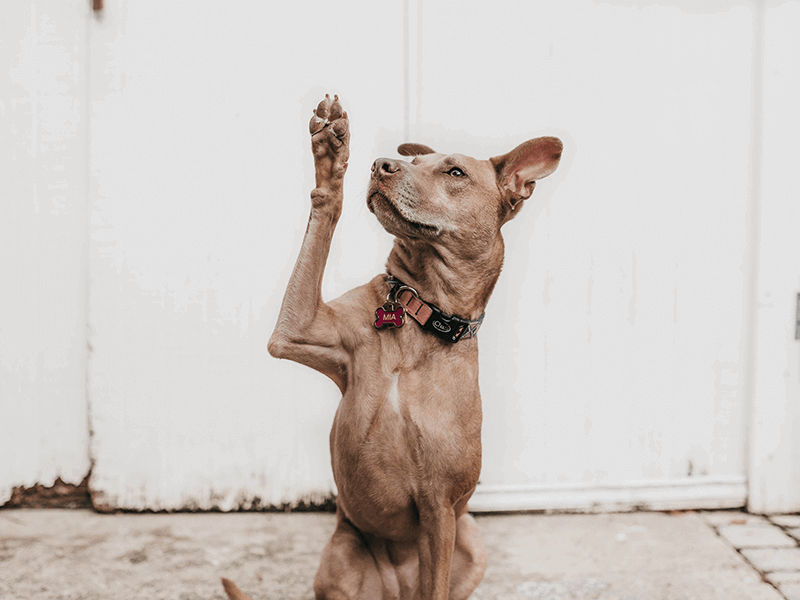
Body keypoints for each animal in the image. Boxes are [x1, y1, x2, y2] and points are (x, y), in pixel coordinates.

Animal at [223, 96, 564, 596]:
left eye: (455, 172)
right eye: (414, 162)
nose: (381, 164)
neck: (419, 314)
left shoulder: (439, 509)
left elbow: (436, 579)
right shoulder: (295, 329)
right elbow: (323, 213)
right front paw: (331, 157)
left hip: (470, 540)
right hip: (342, 555)